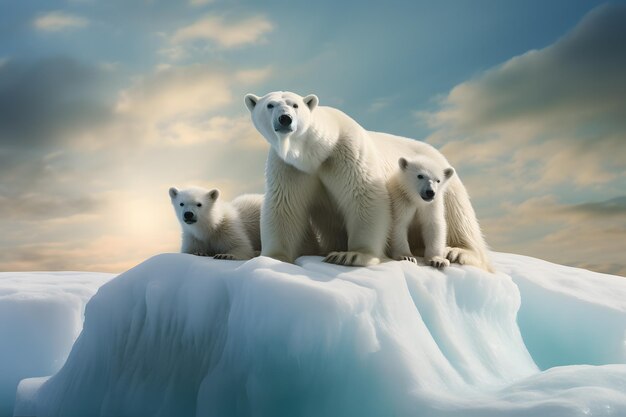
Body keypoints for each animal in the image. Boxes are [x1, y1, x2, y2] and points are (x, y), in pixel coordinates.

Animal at [244, 90, 492, 270]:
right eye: (270, 105)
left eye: (295, 105)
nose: (285, 119)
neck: (316, 153)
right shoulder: (290, 167)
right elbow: (284, 206)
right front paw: (272, 257)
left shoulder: (348, 151)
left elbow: (363, 197)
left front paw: (351, 255)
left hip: (445, 184)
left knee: (458, 215)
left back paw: (456, 251)